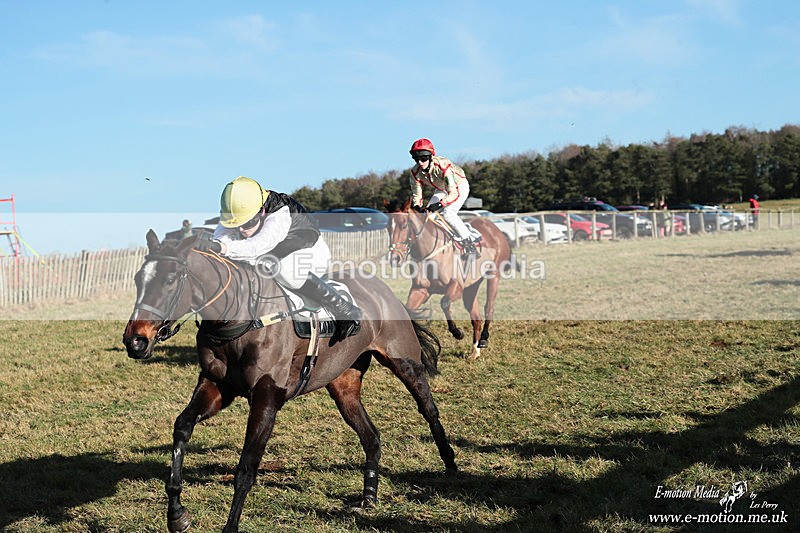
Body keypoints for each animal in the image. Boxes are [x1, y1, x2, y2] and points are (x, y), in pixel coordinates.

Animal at [122, 230, 457, 533]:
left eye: (168, 280)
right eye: (138, 279)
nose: (135, 340)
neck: (240, 317)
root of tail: (382, 290)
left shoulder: (267, 397)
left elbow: (246, 467)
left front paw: (230, 525)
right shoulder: (217, 387)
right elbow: (182, 426)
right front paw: (176, 513)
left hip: (405, 363)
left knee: (428, 410)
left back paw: (451, 465)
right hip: (343, 384)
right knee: (371, 435)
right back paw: (368, 497)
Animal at [386, 199, 513, 360]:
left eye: (404, 225)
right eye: (387, 227)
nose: (394, 258)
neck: (429, 252)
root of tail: (494, 228)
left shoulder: (456, 286)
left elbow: (444, 303)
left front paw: (457, 332)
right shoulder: (421, 290)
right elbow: (408, 310)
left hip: (494, 276)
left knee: (489, 307)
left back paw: (483, 339)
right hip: (471, 287)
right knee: (476, 317)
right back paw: (475, 351)